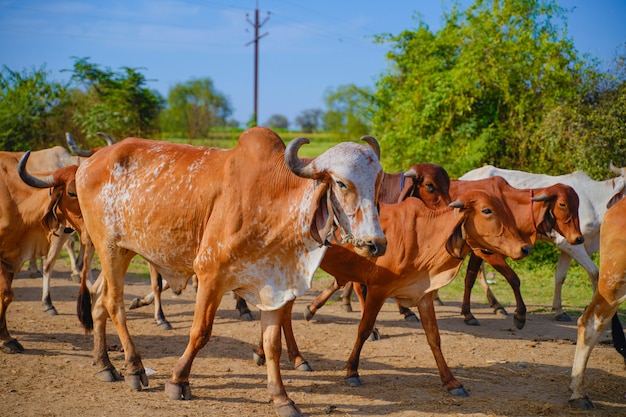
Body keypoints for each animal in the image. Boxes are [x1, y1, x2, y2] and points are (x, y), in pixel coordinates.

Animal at [73, 127, 386, 416]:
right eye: (342, 184)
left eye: (378, 183)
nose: (376, 243)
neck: (272, 200)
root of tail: (91, 160)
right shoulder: (209, 274)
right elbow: (200, 332)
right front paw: (178, 381)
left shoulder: (274, 285)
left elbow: (272, 345)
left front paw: (281, 398)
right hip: (109, 247)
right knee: (114, 304)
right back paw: (134, 369)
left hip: (122, 251)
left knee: (99, 301)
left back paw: (105, 365)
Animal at [458, 164, 624, 320]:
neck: (595, 201)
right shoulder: (571, 244)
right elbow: (595, 273)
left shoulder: (569, 246)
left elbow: (560, 277)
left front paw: (559, 311)